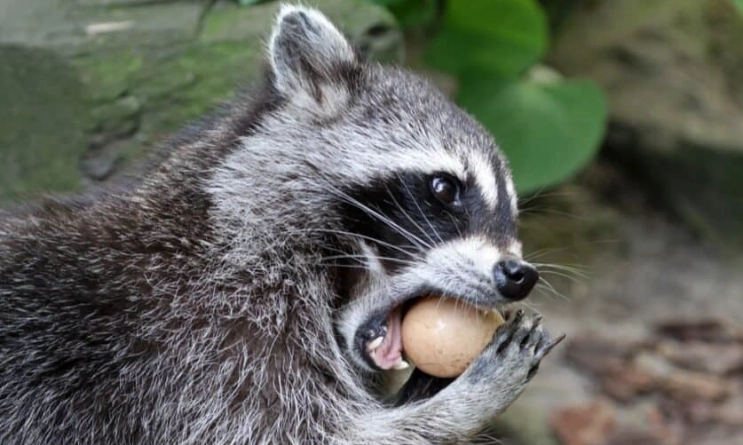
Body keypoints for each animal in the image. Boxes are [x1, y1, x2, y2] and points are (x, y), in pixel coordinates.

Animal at [0, 5, 562, 444]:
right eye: (444, 188)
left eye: (512, 211)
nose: (519, 275)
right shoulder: (199, 336)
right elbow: (285, 431)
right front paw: (455, 408)